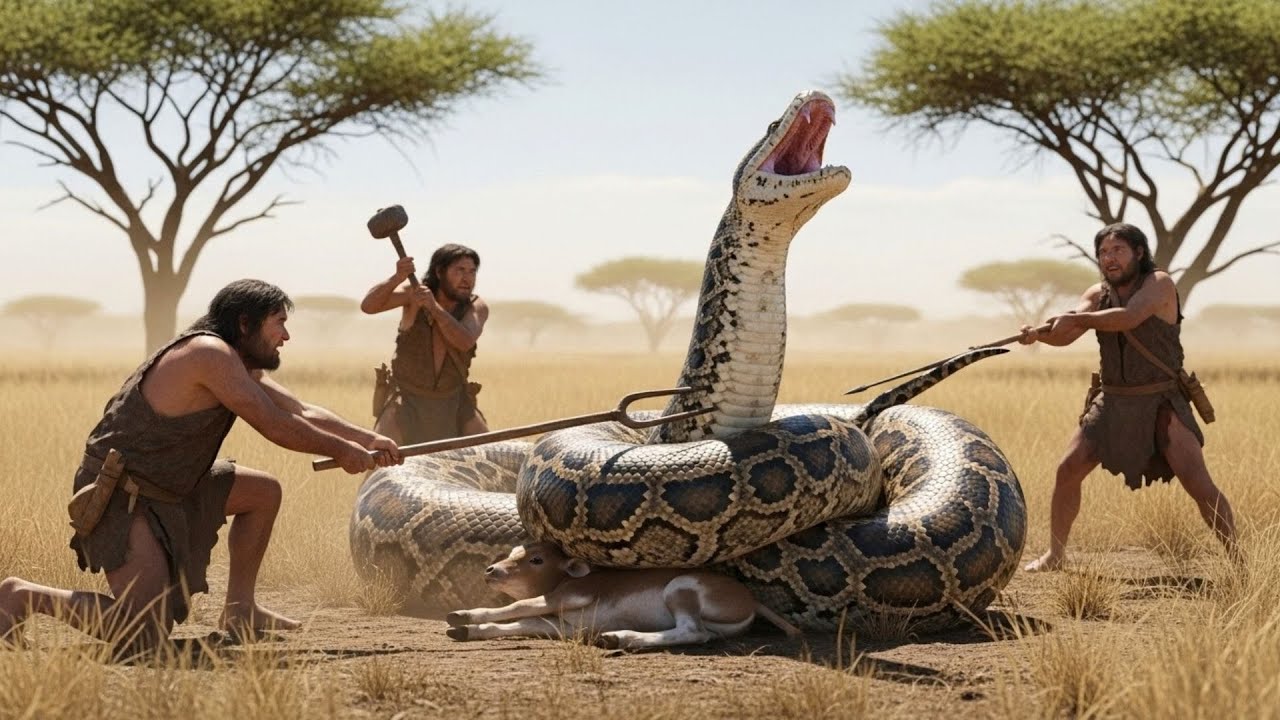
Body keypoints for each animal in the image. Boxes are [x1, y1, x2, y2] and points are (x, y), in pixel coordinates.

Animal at [444, 542, 801, 650]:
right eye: (514, 551)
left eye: (537, 559)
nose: (492, 570)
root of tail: (750, 599)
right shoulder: (560, 624)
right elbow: (516, 622)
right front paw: (465, 630)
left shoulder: (567, 597)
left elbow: (518, 606)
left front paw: (461, 616)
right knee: (700, 635)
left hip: (680, 590)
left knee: (692, 632)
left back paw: (621, 637)